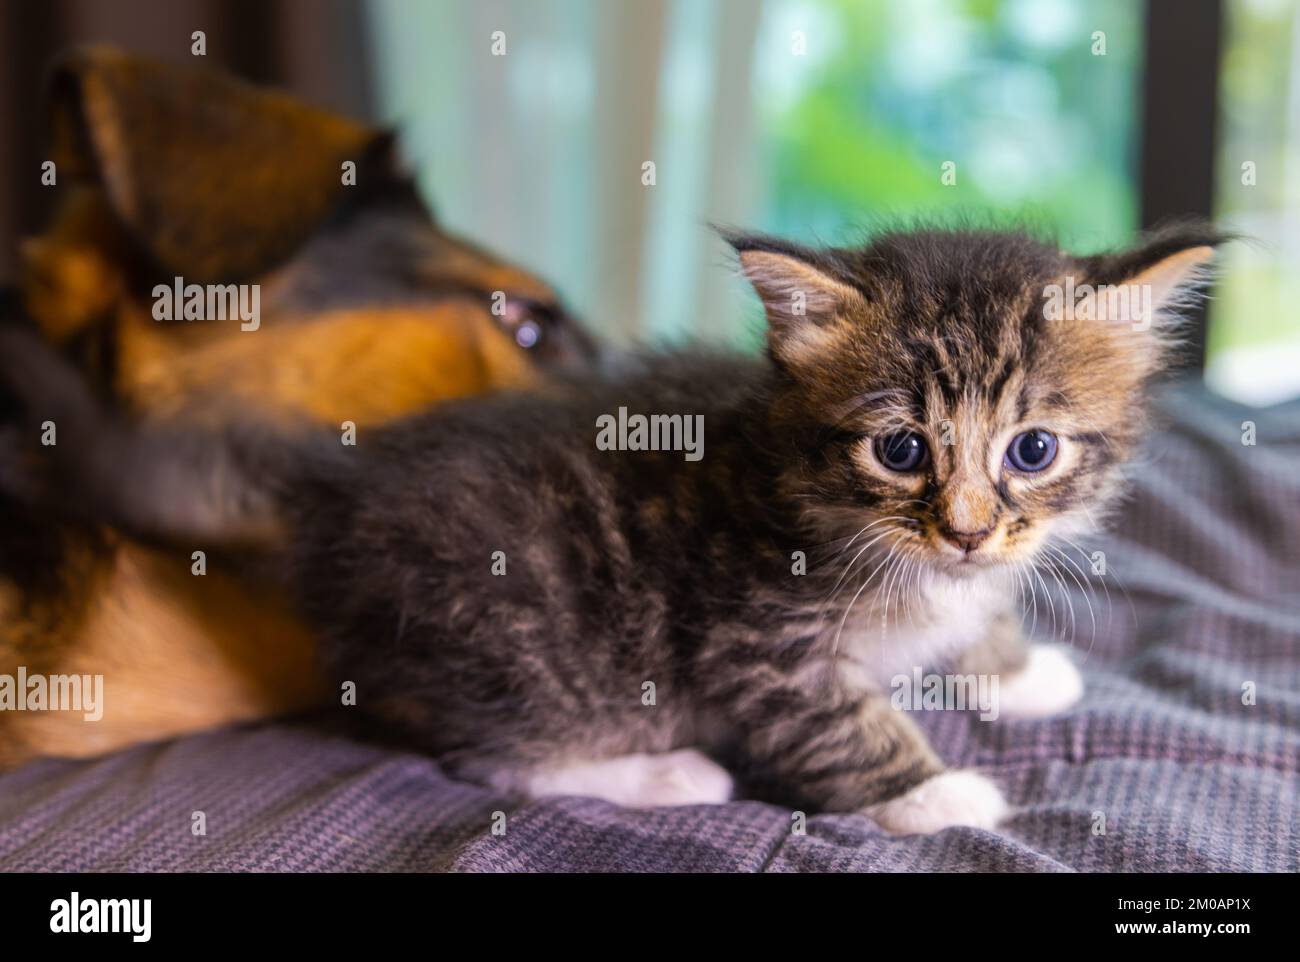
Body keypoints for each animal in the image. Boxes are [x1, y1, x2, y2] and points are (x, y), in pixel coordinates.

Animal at [0, 222, 1216, 832]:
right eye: (902, 450)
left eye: (1032, 450)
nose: (964, 532)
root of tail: (329, 490)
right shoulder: (755, 640)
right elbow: (841, 726)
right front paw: (930, 791)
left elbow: (976, 621)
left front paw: (1015, 669)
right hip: (523, 637)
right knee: (492, 759)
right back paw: (665, 775)